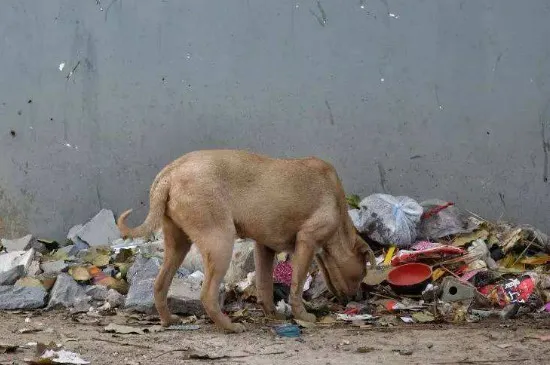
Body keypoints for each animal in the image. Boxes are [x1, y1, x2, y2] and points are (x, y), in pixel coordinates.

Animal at [118, 149, 378, 332]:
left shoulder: (264, 247)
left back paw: (168, 320)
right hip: (220, 242)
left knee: (160, 284)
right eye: (362, 274)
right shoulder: (306, 242)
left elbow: (264, 283)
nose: (357, 299)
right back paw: (229, 326)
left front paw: (272, 314)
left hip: (177, 244)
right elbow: (296, 286)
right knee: (207, 295)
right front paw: (303, 316)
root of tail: (170, 172)